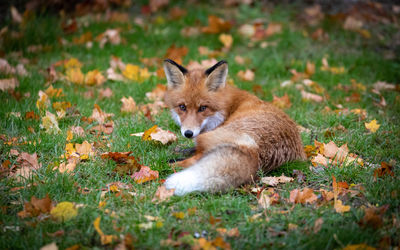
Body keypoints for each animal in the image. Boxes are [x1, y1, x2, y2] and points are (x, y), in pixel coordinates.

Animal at [162, 59, 306, 195]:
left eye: (203, 108)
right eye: (182, 107)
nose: (188, 133)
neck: (228, 107)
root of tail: (255, 152)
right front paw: (179, 150)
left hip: (206, 139)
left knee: (194, 160)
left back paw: (168, 163)